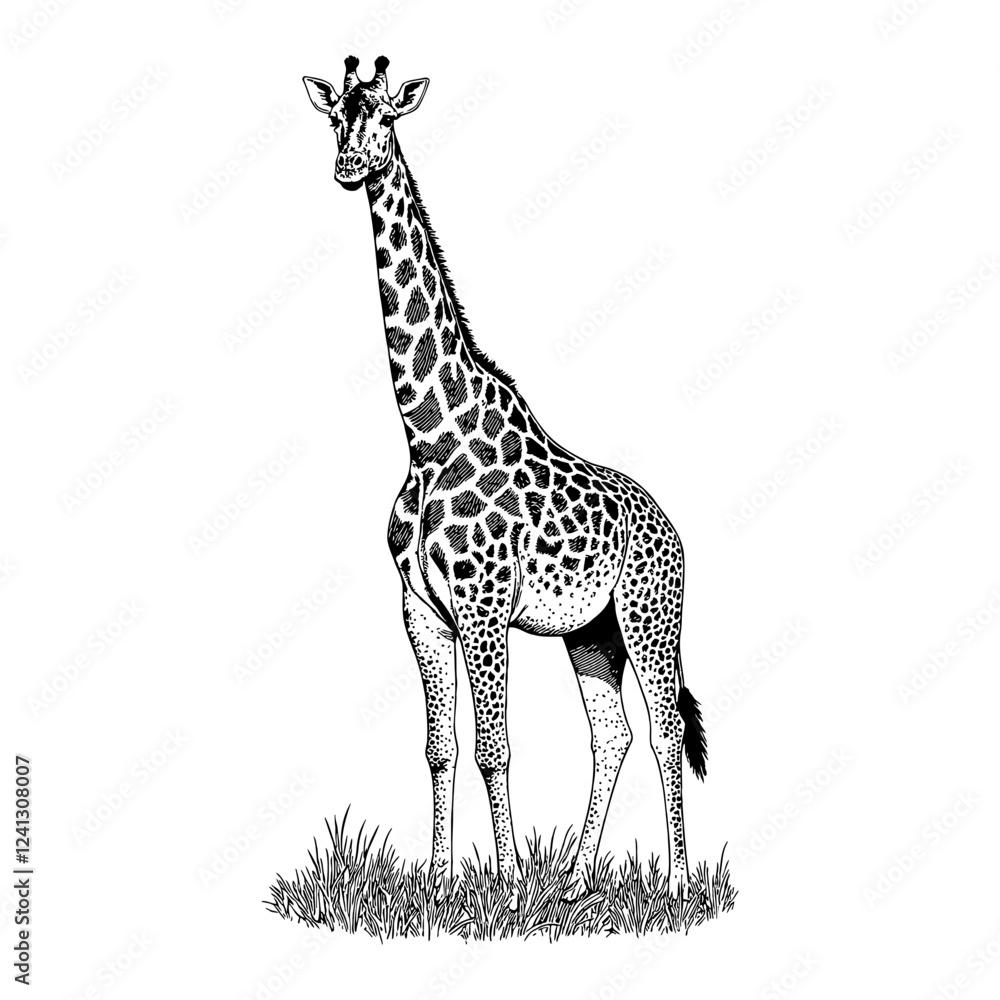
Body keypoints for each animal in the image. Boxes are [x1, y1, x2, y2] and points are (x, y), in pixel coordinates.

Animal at [303, 57, 707, 901]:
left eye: (384, 116)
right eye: (335, 118)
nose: (349, 166)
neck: (429, 436)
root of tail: (671, 526)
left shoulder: (485, 606)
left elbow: (496, 747)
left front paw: (511, 883)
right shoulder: (421, 609)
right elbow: (441, 747)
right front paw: (439, 883)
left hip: (650, 617)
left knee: (664, 729)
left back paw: (680, 883)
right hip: (592, 631)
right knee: (613, 733)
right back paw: (578, 882)